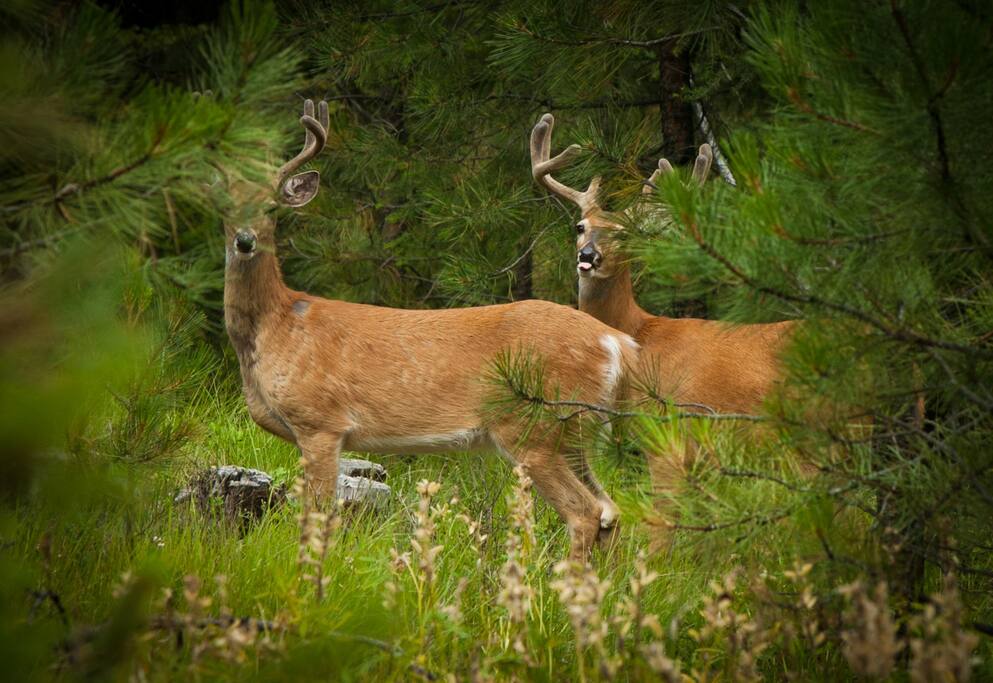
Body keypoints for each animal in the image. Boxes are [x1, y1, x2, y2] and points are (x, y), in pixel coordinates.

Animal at [217, 100, 640, 560]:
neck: (277, 326)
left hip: (533, 425)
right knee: (610, 510)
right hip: (574, 431)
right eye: (225, 209)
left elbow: (317, 519)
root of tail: (617, 341)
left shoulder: (321, 423)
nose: (245, 241)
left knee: (584, 512)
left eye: (272, 207)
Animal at [528, 112, 800, 540]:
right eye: (580, 226)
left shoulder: (666, 438)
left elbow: (662, 524)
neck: (639, 337)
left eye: (624, 235)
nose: (588, 256)